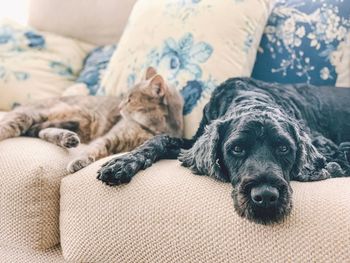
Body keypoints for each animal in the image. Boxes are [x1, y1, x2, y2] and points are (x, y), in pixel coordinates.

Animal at [0, 68, 183, 173]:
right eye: (124, 97)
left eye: (130, 99)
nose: (119, 106)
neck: (148, 128)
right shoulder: (108, 138)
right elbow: (92, 149)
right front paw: (79, 160)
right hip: (38, 115)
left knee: (41, 130)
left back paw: (68, 138)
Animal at [96, 78, 350, 225]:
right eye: (237, 148)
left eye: (284, 148)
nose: (266, 196)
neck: (249, 96)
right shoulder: (192, 141)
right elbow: (159, 139)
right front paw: (122, 163)